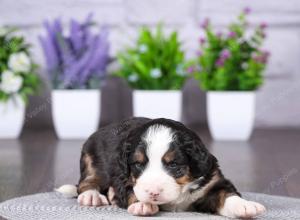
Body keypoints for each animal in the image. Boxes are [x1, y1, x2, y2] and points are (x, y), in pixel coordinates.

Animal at [75, 117, 264, 217]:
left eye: (173, 164)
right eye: (138, 164)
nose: (153, 192)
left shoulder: (212, 181)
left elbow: (226, 194)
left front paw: (245, 206)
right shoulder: (123, 176)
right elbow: (131, 190)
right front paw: (142, 204)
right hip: (94, 161)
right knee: (86, 182)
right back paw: (91, 196)